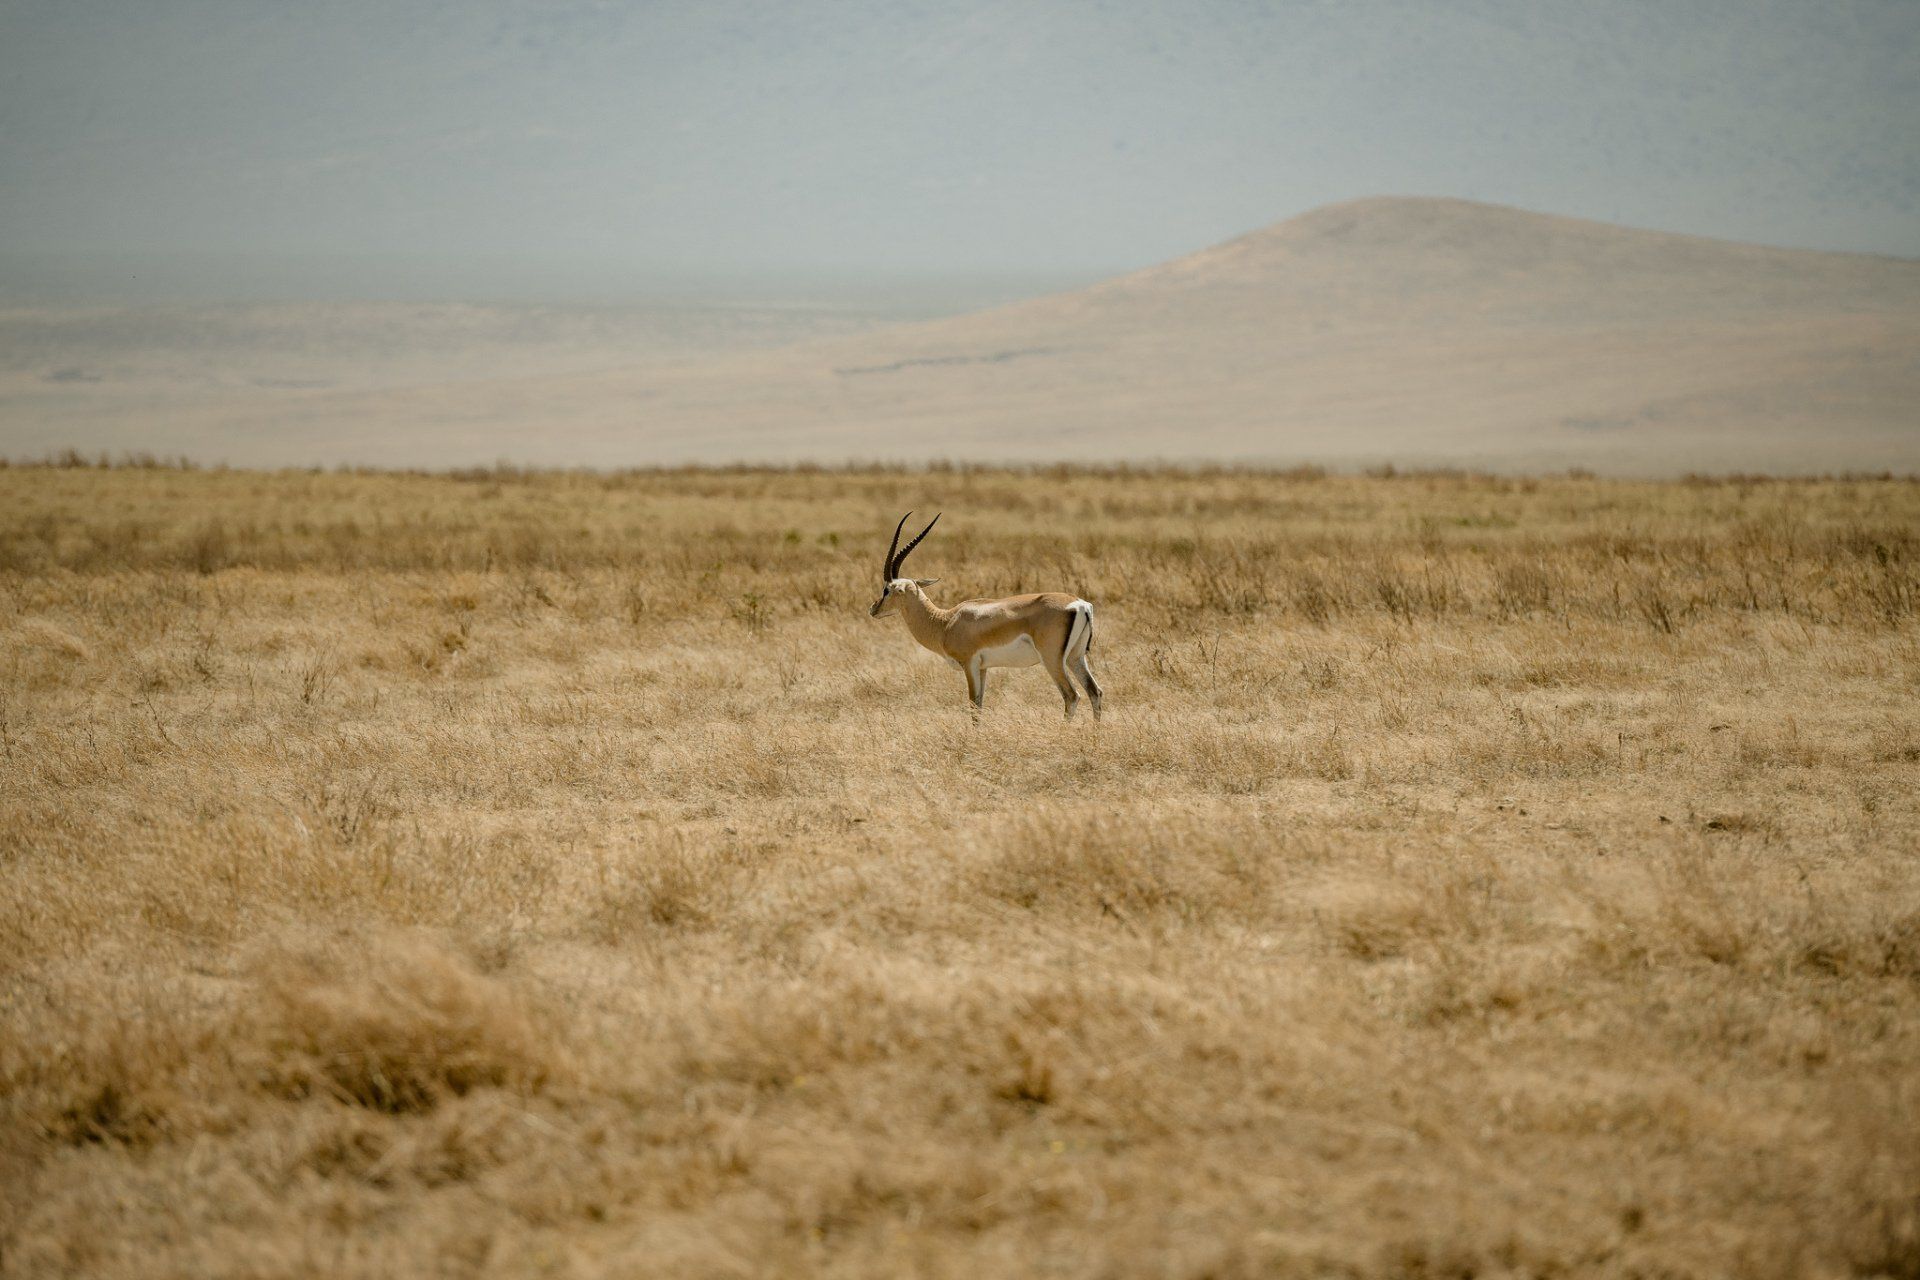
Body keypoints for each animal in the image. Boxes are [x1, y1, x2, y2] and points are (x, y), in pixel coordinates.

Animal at [869, 512, 1103, 719]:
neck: (945, 622)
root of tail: (1080, 604)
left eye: (886, 589)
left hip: (1052, 660)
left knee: (1071, 696)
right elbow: (980, 705)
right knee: (1095, 692)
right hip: (1075, 657)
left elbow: (973, 706)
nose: (873, 609)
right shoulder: (983, 668)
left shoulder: (970, 664)